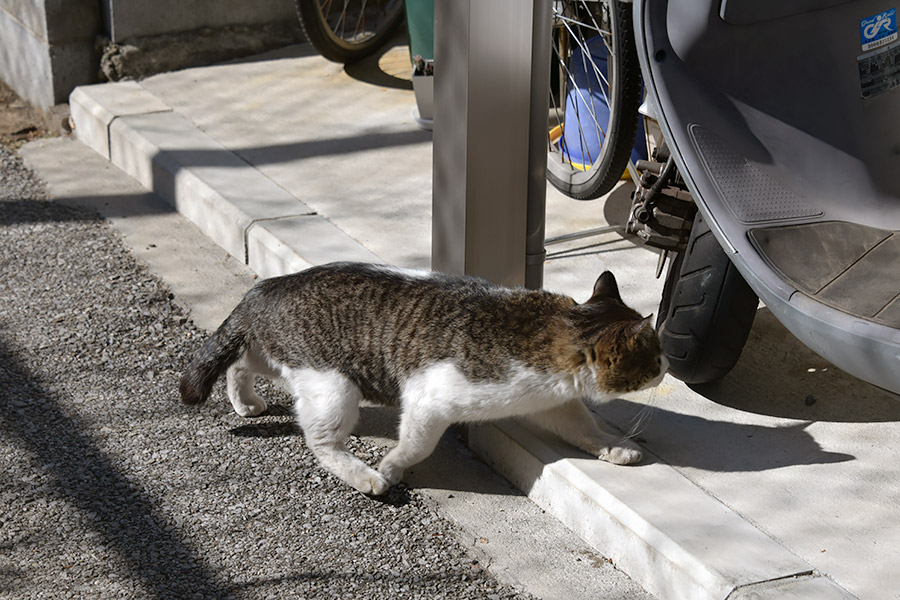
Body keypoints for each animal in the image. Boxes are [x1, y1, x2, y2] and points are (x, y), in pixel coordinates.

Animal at [181, 264, 660, 494]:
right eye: (655, 359)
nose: (667, 367)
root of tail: (265, 286)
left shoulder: (557, 404)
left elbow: (586, 429)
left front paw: (616, 447)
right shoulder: (429, 402)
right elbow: (414, 446)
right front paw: (390, 468)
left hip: (289, 361)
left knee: (240, 362)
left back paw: (245, 402)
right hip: (334, 386)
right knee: (321, 442)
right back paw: (364, 478)